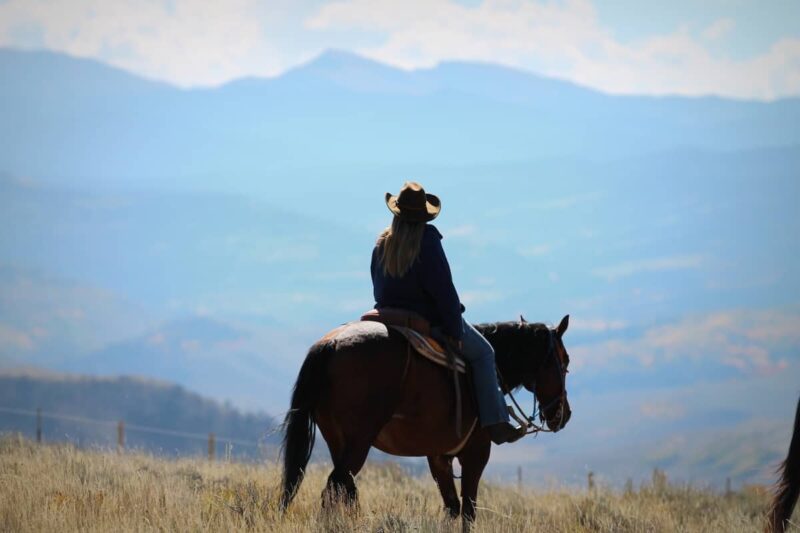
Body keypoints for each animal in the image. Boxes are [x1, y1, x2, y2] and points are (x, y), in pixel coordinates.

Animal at [278, 314, 572, 520]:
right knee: (333, 489)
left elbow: (452, 507)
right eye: (565, 361)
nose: (564, 414)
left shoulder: (438, 457)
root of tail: (330, 344)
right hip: (358, 443)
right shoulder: (476, 453)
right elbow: (468, 511)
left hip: (338, 442)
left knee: (344, 491)